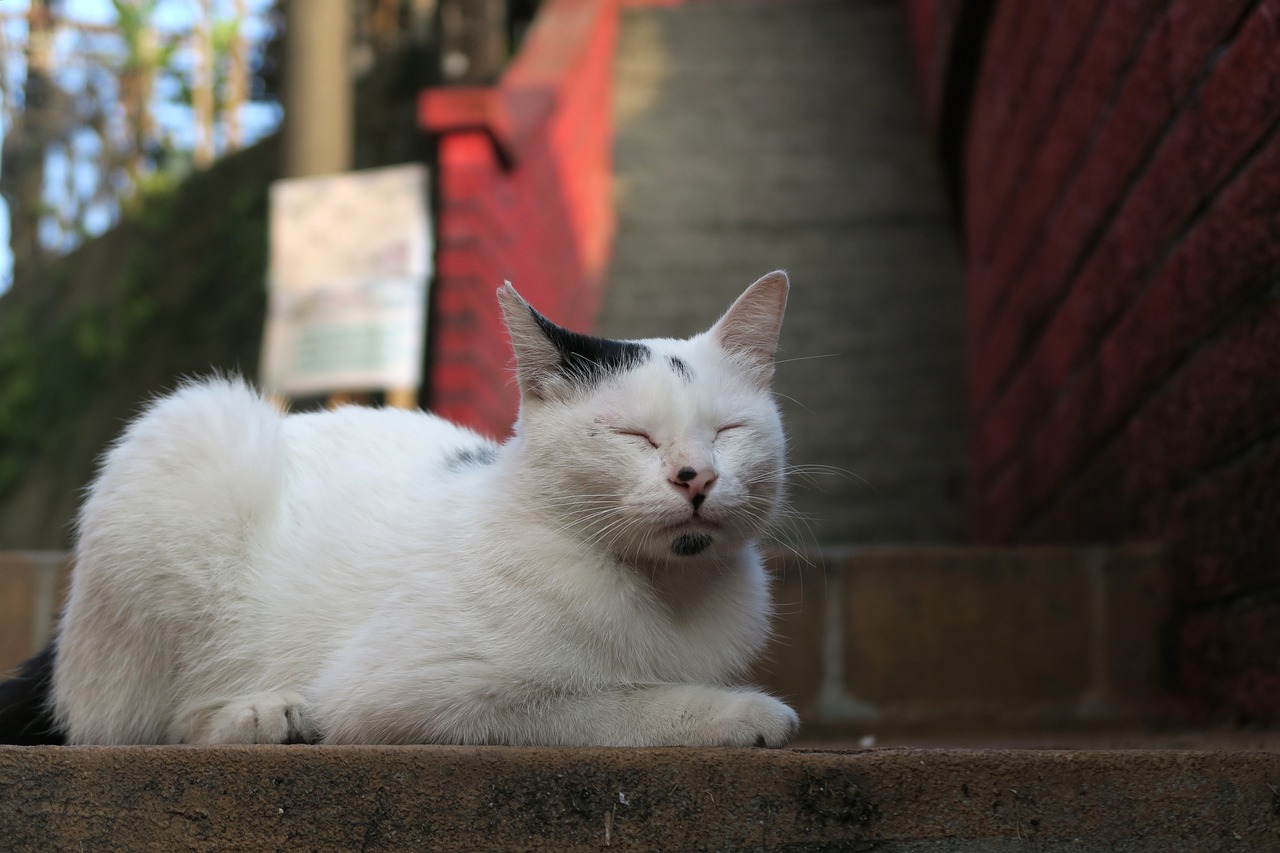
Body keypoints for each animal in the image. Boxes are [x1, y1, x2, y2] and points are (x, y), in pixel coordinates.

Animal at [0, 270, 793, 742]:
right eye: (633, 435)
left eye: (729, 431)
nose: (695, 476)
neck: (668, 593)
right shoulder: (415, 694)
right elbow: (618, 704)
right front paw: (745, 712)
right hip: (195, 436)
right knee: (133, 723)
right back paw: (263, 712)